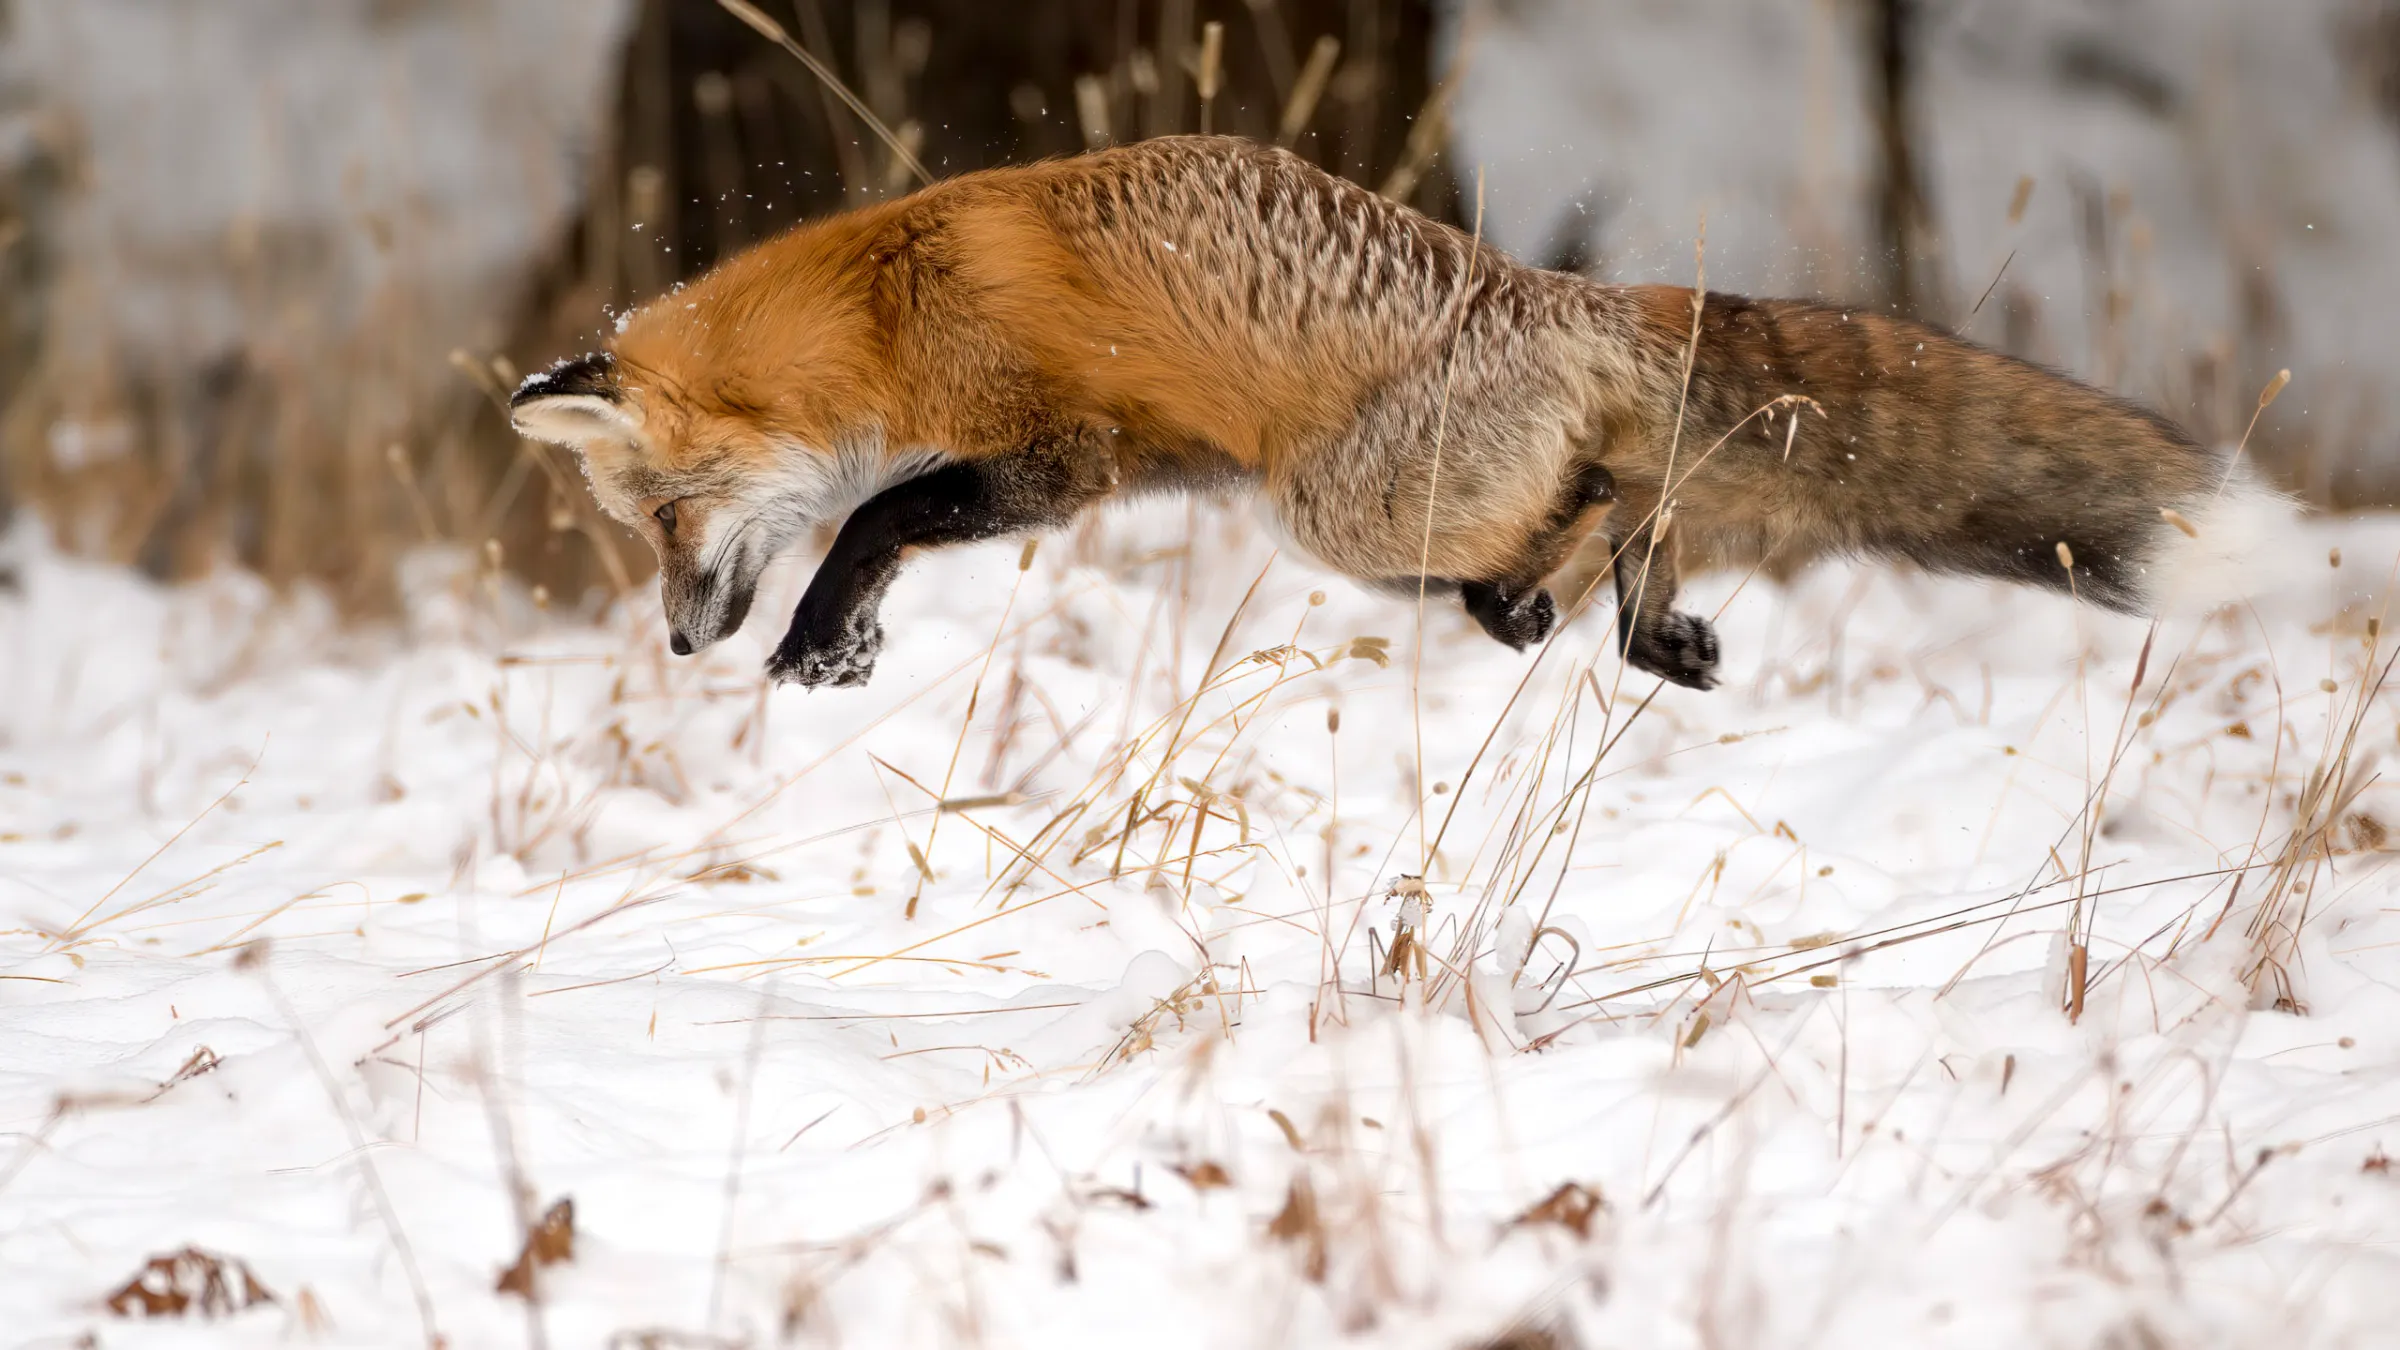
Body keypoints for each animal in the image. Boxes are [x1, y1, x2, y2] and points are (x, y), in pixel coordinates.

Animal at [509, 134, 2289, 692]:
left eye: (661, 521)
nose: (678, 640)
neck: (887, 304)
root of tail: (1559, 290)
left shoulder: (1061, 453)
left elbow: (880, 512)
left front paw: (823, 636)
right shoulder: (1063, 464)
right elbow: (887, 519)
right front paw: (849, 638)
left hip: (1335, 507)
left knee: (1605, 500)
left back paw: (1596, 608)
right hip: (1365, 519)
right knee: (1608, 519)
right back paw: (1634, 626)